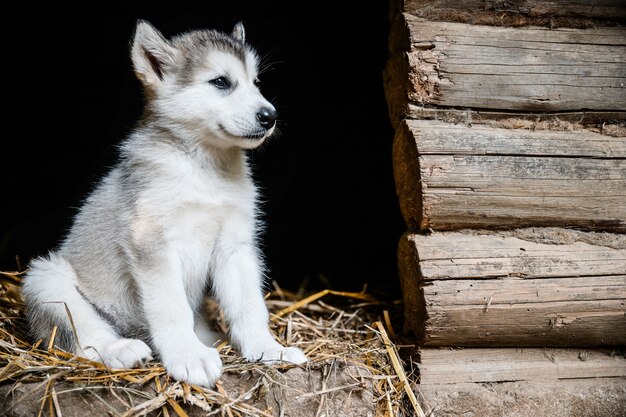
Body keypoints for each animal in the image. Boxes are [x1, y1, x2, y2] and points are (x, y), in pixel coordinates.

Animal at [22, 18, 308, 384]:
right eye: (221, 82)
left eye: (256, 83)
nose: (269, 116)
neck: (205, 170)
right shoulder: (151, 243)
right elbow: (171, 308)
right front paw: (188, 356)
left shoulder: (235, 246)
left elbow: (250, 307)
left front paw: (267, 348)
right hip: (47, 279)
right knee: (84, 336)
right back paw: (121, 349)